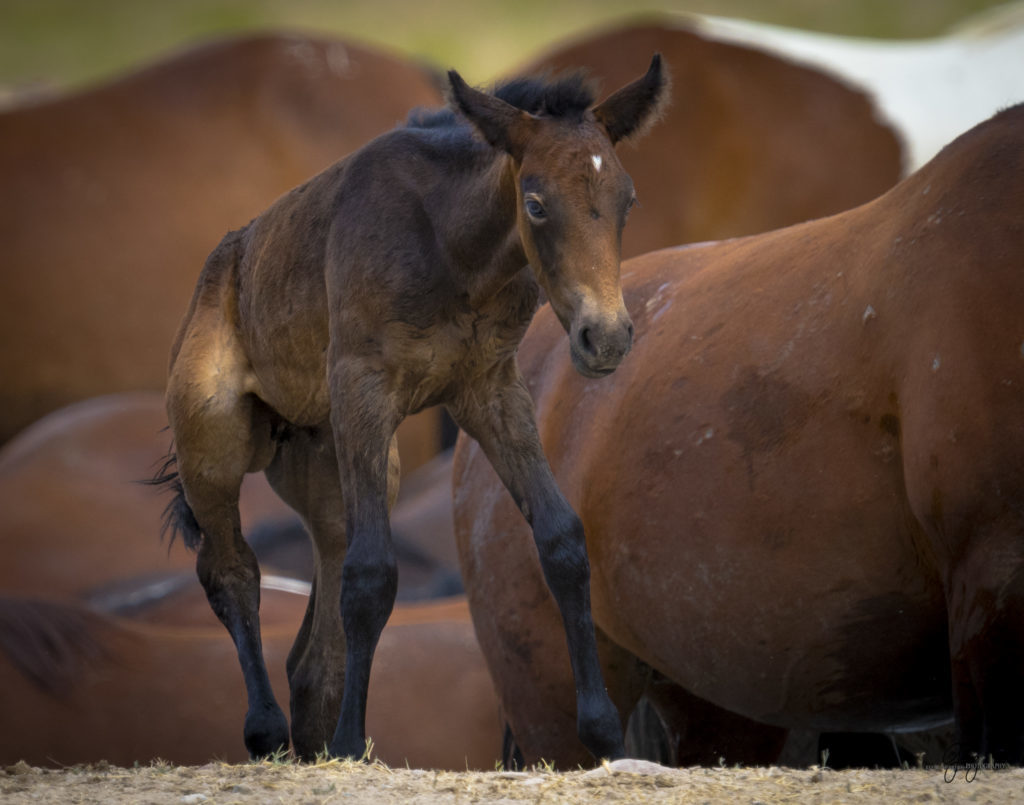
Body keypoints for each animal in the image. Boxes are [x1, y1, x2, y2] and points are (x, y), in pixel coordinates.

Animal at [157, 54, 671, 757]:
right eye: (536, 204)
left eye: (627, 200)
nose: (608, 337)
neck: (450, 249)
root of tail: (220, 266)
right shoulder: (364, 391)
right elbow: (372, 574)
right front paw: (352, 746)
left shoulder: (491, 391)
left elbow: (562, 540)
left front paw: (601, 734)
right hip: (215, 444)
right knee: (231, 571)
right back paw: (266, 730)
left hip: (331, 470)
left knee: (312, 647)